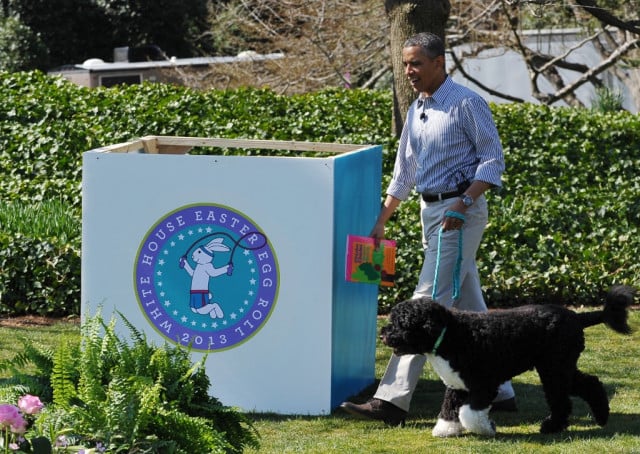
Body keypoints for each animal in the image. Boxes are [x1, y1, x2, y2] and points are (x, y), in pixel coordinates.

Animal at [380, 286, 636, 438]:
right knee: (590, 383)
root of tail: (576, 316)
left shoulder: (484, 385)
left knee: (563, 401)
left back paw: (551, 427)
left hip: (554, 369)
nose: (383, 334)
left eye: (401, 323)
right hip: (560, 367)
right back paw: (601, 417)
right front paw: (446, 429)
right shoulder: (457, 385)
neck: (451, 333)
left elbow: (468, 413)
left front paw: (486, 429)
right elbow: (449, 409)